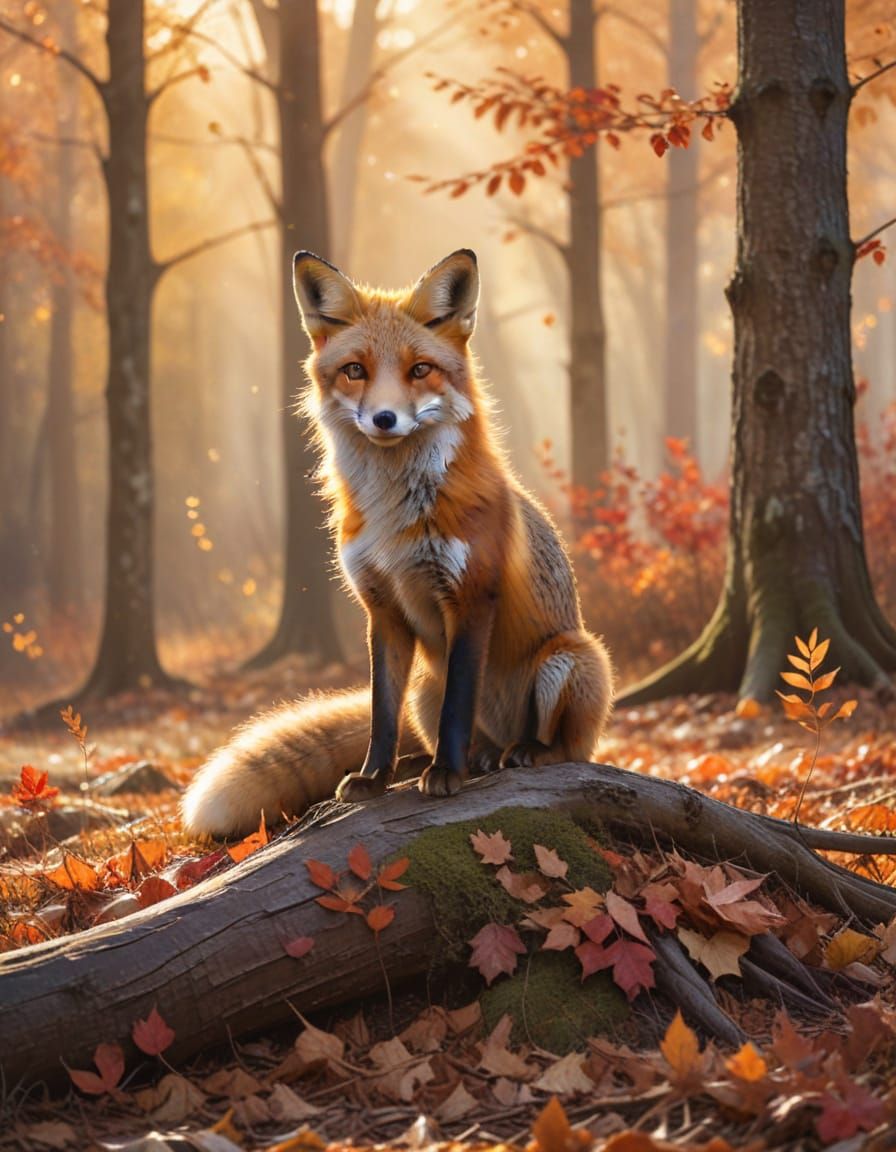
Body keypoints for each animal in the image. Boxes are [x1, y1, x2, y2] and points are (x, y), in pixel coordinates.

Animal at [181, 249, 613, 838]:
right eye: (355, 370)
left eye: (420, 369)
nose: (384, 418)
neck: (395, 523)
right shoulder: (382, 608)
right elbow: (380, 714)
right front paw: (374, 777)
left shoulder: (470, 597)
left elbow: (458, 705)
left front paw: (447, 776)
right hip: (425, 686)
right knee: (464, 739)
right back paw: (441, 761)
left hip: (570, 658)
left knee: (569, 750)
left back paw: (519, 754)